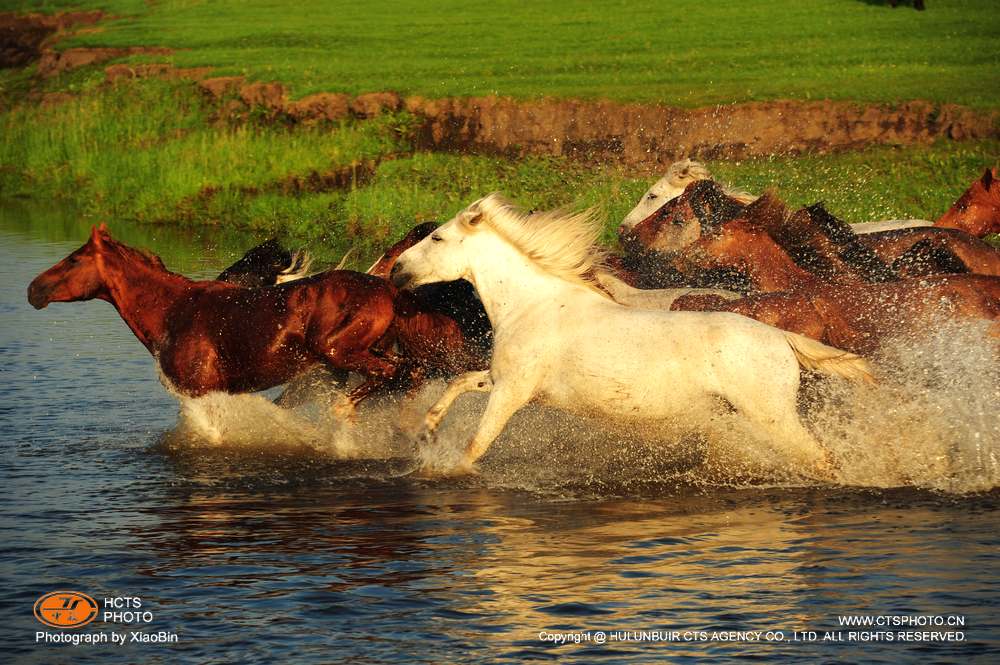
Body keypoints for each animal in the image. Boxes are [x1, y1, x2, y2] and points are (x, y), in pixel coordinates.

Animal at [26, 223, 398, 400]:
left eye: (74, 259)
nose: (33, 289)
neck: (172, 312)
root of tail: (388, 288)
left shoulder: (200, 392)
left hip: (340, 354)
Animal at [390, 192, 876, 478]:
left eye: (436, 238)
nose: (396, 271)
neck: (533, 305)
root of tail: (782, 340)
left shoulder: (513, 392)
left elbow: (476, 446)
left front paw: (440, 470)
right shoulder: (508, 381)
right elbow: (460, 381)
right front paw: (427, 428)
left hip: (772, 415)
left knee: (822, 459)